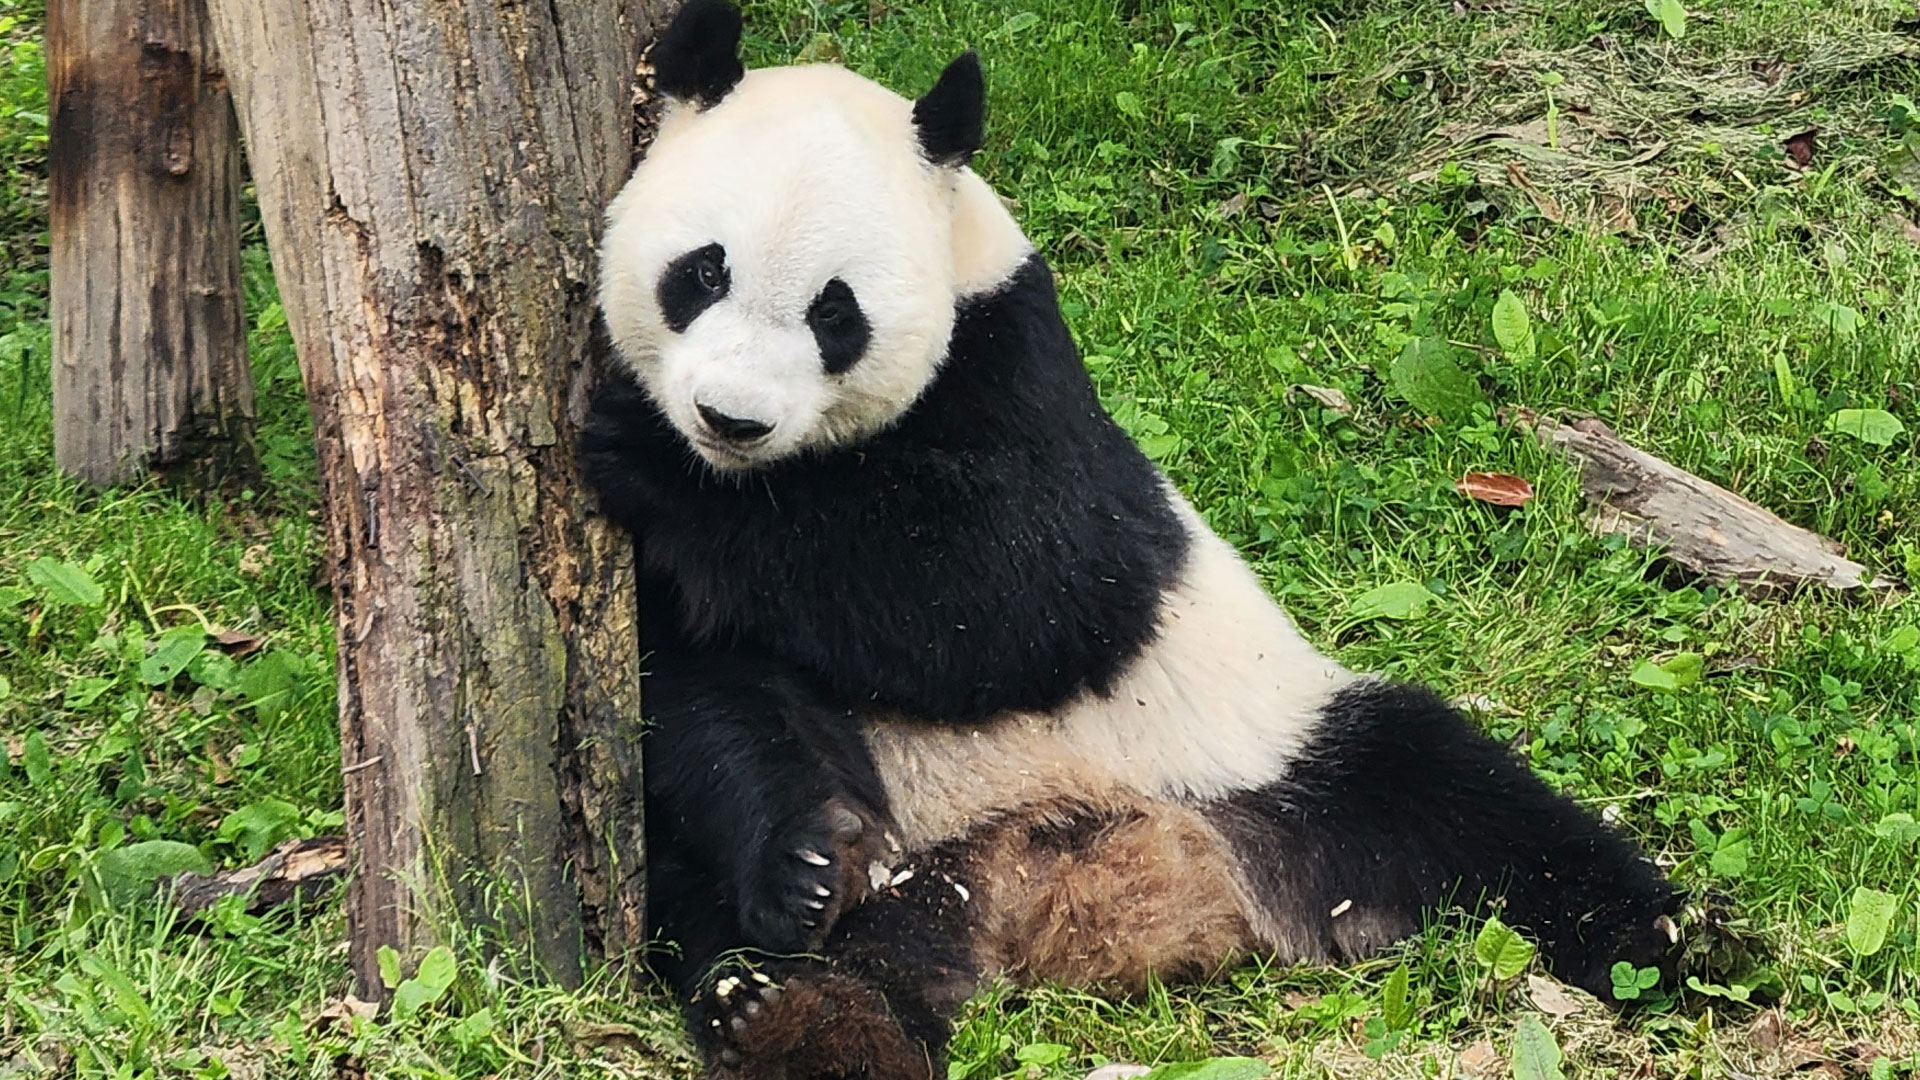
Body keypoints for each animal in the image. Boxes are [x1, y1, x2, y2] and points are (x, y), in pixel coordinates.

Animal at [584, 3, 1684, 1078]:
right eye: (703, 271)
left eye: (835, 312)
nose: (732, 420)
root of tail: (1089, 880)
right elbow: (706, 692)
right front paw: (809, 857)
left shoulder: (1017, 366)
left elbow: (1016, 592)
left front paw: (650, 455)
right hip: (935, 867)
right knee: (727, 913)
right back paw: (795, 1014)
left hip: (1265, 756)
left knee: (1459, 802)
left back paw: (1665, 944)